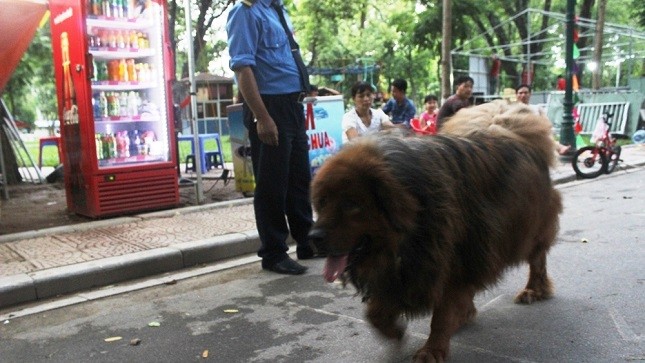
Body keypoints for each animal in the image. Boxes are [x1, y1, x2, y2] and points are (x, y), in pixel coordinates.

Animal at [306, 101, 560, 362]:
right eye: (322, 202)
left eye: (350, 205)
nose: (314, 238)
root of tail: (513, 133)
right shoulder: (405, 271)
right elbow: (375, 312)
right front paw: (394, 331)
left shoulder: (449, 261)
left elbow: (442, 315)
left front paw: (432, 350)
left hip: (527, 232)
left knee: (537, 260)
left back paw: (533, 290)